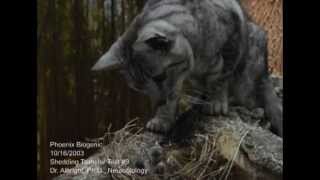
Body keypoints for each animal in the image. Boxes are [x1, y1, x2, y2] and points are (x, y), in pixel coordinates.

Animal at [92, 0, 282, 136]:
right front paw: (162, 119)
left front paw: (216, 102)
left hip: (250, 67)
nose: (157, 102)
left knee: (256, 100)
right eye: (140, 88)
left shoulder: (231, 41)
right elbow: (172, 98)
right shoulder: (178, 81)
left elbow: (219, 79)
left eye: (160, 77)